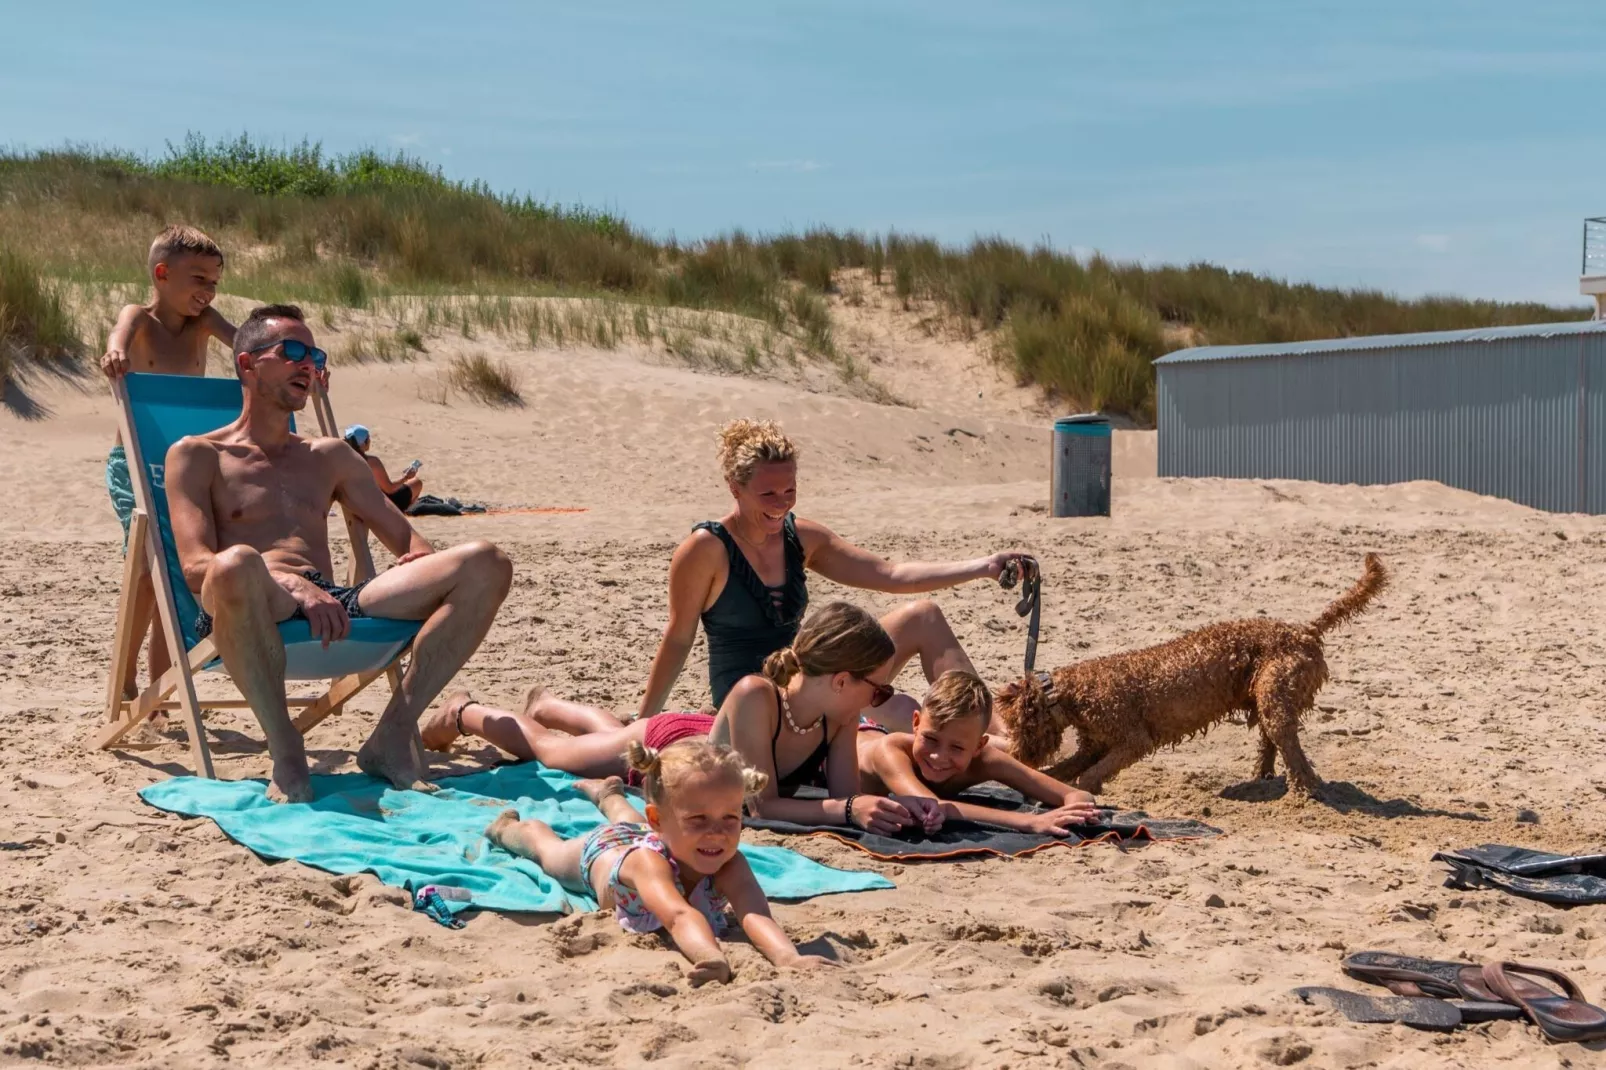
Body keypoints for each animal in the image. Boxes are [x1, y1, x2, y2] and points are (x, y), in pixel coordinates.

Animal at [995, 552, 1387, 796]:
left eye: (1019, 725)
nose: (1017, 756)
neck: (1070, 694)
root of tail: (1305, 630)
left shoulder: (1133, 741)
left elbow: (1089, 775)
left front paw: (1077, 791)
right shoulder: (1095, 745)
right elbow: (1066, 768)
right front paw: (1043, 781)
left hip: (1277, 694)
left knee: (1290, 748)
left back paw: (1304, 792)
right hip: (1267, 697)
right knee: (1271, 741)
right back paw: (1262, 779)